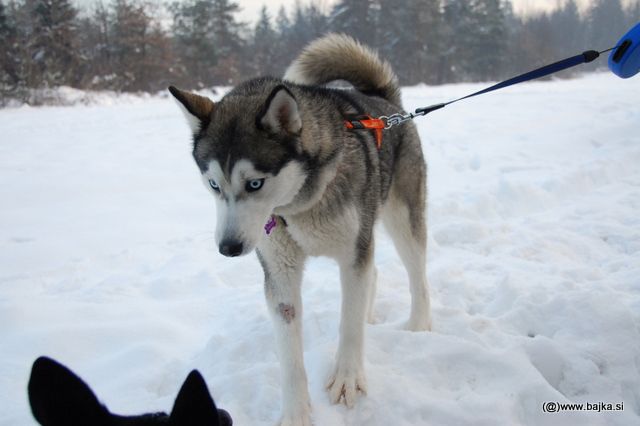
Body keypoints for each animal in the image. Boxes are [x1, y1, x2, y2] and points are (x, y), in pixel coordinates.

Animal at [170, 34, 430, 426]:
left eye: (255, 183)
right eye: (214, 184)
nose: (228, 248)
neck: (297, 207)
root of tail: (385, 102)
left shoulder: (352, 255)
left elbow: (349, 326)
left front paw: (347, 379)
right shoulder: (280, 272)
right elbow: (290, 352)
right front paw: (295, 412)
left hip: (401, 219)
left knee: (417, 274)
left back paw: (419, 326)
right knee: (376, 272)